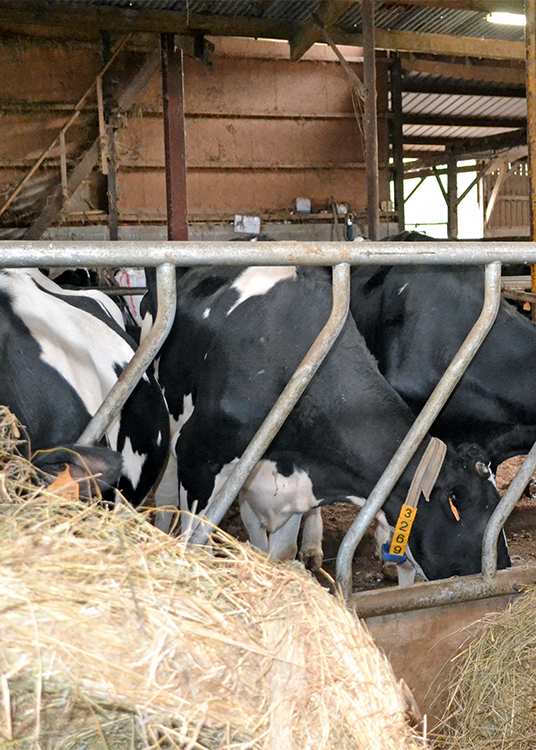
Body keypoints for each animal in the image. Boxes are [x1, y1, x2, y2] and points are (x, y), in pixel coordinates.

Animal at [143, 264, 510, 580]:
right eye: (479, 515)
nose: (504, 569)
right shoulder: (199, 459)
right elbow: (196, 546)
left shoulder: (294, 487)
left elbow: (280, 554)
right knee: (166, 496)